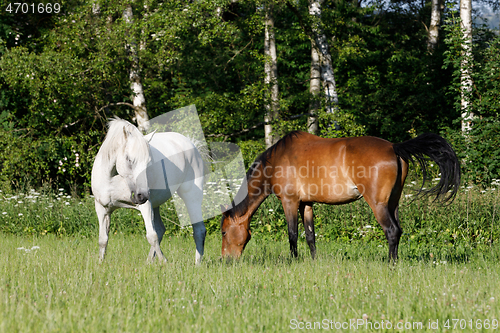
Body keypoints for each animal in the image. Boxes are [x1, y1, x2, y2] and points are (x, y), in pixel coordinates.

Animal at [91, 118, 206, 264]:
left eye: (149, 162)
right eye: (129, 159)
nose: (142, 195)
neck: (112, 178)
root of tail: (191, 143)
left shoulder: (145, 205)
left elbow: (152, 236)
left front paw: (164, 262)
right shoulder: (102, 208)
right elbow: (103, 239)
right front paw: (100, 263)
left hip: (191, 197)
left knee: (199, 230)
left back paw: (197, 264)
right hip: (155, 204)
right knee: (161, 229)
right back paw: (149, 262)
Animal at [221, 131, 462, 260]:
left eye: (223, 232)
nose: (225, 260)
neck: (276, 161)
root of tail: (394, 147)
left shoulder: (290, 202)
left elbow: (292, 235)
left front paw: (293, 261)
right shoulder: (306, 204)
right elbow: (310, 236)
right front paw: (313, 261)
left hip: (378, 204)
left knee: (392, 231)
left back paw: (390, 265)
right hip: (393, 203)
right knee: (399, 230)